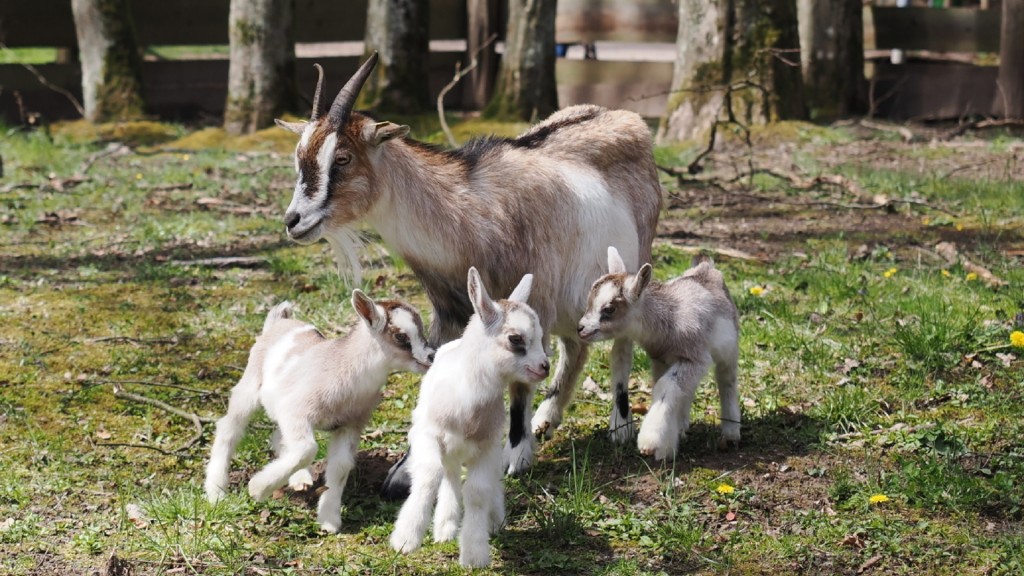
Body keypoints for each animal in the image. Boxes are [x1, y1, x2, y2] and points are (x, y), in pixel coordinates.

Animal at [205, 293, 434, 532]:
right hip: (250, 384)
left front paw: (329, 520)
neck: (347, 373)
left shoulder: (351, 423)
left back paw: (300, 480)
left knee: (278, 437)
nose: (431, 356)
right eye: (400, 336)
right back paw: (216, 491)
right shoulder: (297, 411)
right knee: (229, 428)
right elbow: (307, 449)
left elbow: (340, 465)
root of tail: (279, 321)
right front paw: (258, 489)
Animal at [274, 52, 663, 498]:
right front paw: (406, 471)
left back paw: (619, 425)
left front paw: (515, 455)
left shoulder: (535, 301)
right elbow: (435, 373)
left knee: (620, 346)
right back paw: (547, 418)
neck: (469, 214)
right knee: (576, 347)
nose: (294, 221)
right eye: (299, 157)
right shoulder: (449, 311)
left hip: (628, 274)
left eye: (342, 158)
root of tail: (626, 117)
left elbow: (521, 383)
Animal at [391, 268, 552, 565]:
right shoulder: (427, 435)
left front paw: (475, 553)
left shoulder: (487, 447)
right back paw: (445, 528)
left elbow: (477, 492)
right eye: (515, 338)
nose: (544, 366)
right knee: (450, 474)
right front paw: (406, 539)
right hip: (448, 448)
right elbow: (430, 474)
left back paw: (492, 520)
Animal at [581, 245, 741, 457]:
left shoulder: (695, 357)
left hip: (728, 350)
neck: (669, 318)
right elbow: (662, 387)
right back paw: (682, 427)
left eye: (609, 309)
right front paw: (667, 445)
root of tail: (706, 268)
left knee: (726, 381)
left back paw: (731, 433)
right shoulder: (659, 359)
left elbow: (665, 386)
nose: (581, 329)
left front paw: (651, 440)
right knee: (687, 390)